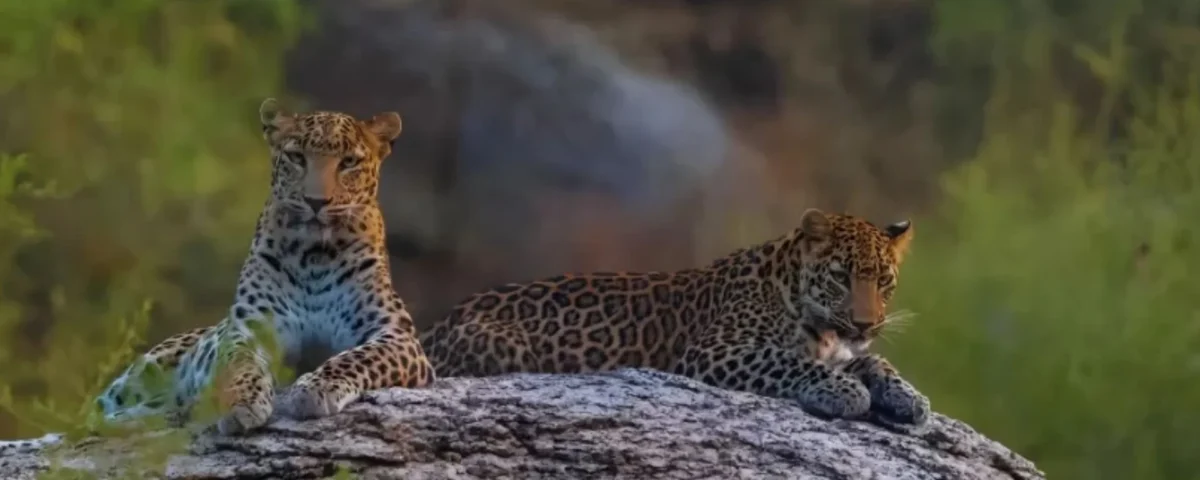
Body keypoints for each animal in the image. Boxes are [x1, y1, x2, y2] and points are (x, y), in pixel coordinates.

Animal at [0, 99, 435, 454]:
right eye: (297, 157)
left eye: (349, 163)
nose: (316, 202)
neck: (315, 253)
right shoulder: (248, 330)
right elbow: (239, 365)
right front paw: (243, 403)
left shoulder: (396, 335)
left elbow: (355, 357)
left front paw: (316, 388)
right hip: (139, 375)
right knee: (89, 420)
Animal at [420, 208, 930, 426]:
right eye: (842, 277)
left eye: (884, 281)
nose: (865, 324)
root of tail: (433, 326)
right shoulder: (716, 351)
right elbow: (791, 362)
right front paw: (846, 392)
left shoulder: (841, 348)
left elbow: (875, 362)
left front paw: (910, 398)